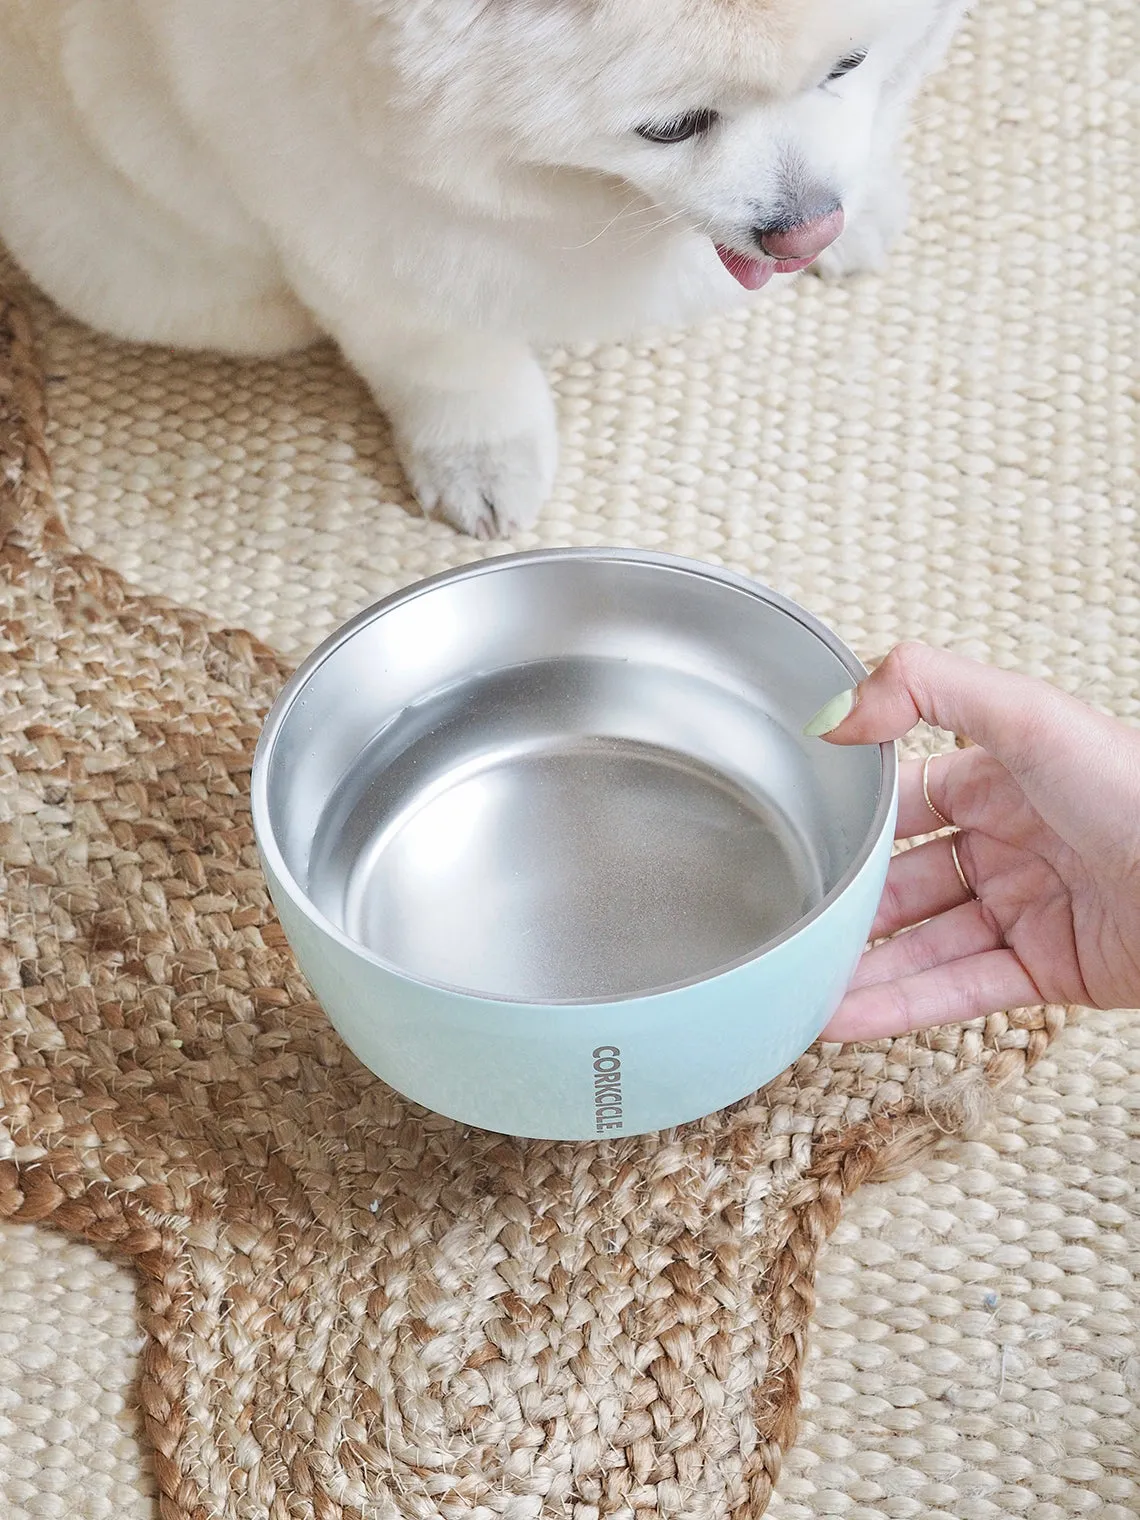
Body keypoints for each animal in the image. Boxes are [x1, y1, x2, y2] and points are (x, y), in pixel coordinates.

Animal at [0, 0, 966, 538]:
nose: (804, 230)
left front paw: (863, 205)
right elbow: (444, 355)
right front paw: (480, 461)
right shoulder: (354, 219)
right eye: (671, 128)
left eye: (848, 64)